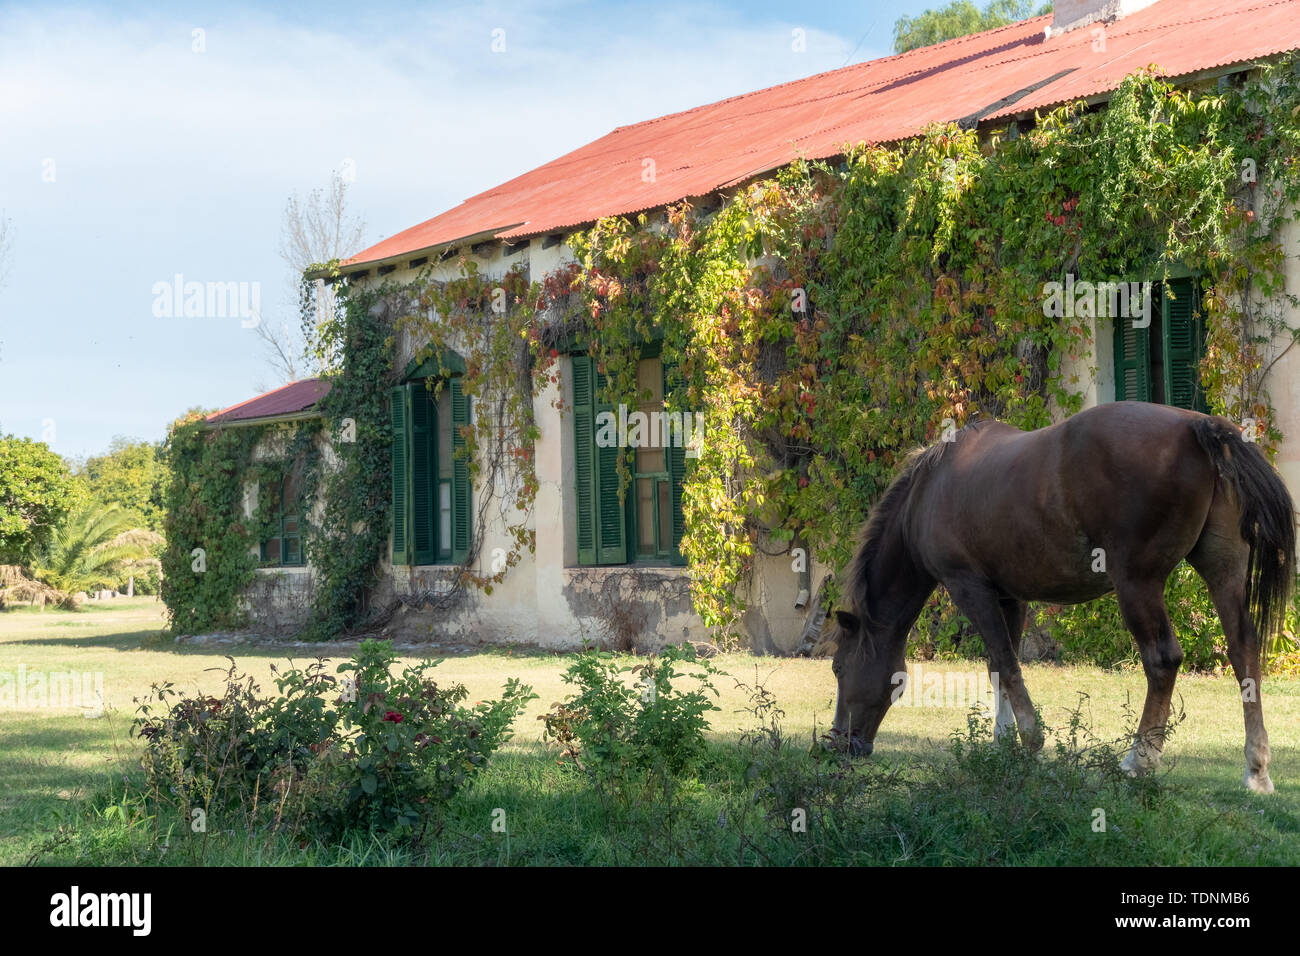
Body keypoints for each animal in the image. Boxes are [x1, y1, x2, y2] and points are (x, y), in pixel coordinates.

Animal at [826, 398, 1294, 790]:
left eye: (837, 667)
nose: (838, 744)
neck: (929, 493)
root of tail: (1196, 424)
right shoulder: (1008, 597)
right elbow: (999, 666)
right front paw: (1003, 743)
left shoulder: (969, 587)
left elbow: (1007, 663)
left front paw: (1031, 742)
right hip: (1223, 570)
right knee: (1243, 650)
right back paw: (1256, 769)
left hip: (1137, 582)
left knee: (1163, 660)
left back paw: (1138, 760)